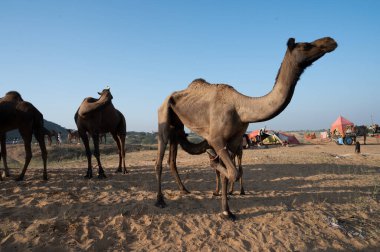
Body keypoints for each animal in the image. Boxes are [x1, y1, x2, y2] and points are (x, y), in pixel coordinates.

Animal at [154, 36, 338, 220]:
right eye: (306, 45)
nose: (330, 41)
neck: (241, 109)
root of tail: (167, 99)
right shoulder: (216, 139)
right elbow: (232, 172)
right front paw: (224, 200)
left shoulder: (235, 140)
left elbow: (232, 173)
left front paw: (227, 210)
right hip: (163, 117)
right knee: (159, 159)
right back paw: (160, 200)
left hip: (177, 125)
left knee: (173, 158)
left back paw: (184, 190)